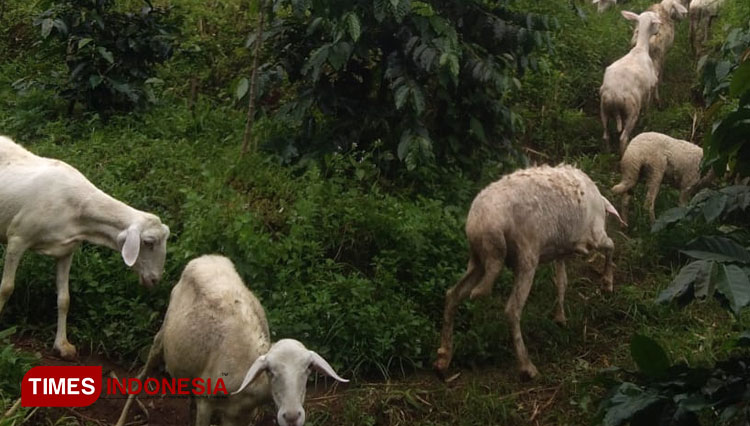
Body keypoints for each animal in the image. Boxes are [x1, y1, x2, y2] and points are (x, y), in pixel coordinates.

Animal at [0, 136, 170, 360]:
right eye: (148, 242)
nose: (155, 279)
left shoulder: (66, 250)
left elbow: (64, 299)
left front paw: (62, 345)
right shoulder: (18, 238)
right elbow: (6, 288)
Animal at [116, 255, 352, 426]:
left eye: (309, 369)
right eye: (270, 371)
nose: (292, 417)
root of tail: (207, 257)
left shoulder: (241, 414)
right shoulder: (207, 403)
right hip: (163, 334)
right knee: (143, 373)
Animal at [432, 163, 624, 380]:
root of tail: (484, 224)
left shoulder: (561, 249)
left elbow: (562, 281)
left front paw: (560, 317)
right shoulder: (594, 235)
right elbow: (611, 246)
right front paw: (607, 283)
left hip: (478, 259)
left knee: (453, 295)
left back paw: (443, 358)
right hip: (526, 256)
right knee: (512, 309)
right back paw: (527, 366)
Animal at [604, 10, 664, 155]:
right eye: (656, 20)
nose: (659, 30)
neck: (640, 48)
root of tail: (614, 95)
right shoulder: (649, 87)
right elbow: (648, 106)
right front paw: (648, 118)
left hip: (604, 108)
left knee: (606, 135)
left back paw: (608, 152)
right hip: (631, 110)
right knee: (623, 138)